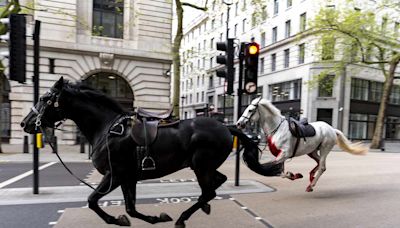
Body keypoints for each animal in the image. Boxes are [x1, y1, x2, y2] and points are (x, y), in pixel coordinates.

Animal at [20, 78, 282, 226]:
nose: (25, 123)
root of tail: (226, 126)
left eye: (44, 97)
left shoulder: (115, 175)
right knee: (216, 183)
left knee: (209, 191)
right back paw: (201, 208)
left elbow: (93, 201)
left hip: (201, 165)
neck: (107, 128)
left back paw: (183, 218)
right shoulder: (128, 177)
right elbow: (130, 208)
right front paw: (151, 218)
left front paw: (117, 220)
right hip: (203, 166)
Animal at [234, 97, 368, 191]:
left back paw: (311, 185)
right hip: (312, 151)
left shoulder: (284, 154)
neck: (277, 129)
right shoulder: (281, 156)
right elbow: (280, 172)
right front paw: (294, 175)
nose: (239, 124)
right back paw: (311, 177)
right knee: (319, 164)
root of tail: (332, 129)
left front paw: (293, 175)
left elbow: (277, 171)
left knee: (322, 167)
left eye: (250, 110)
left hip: (324, 149)